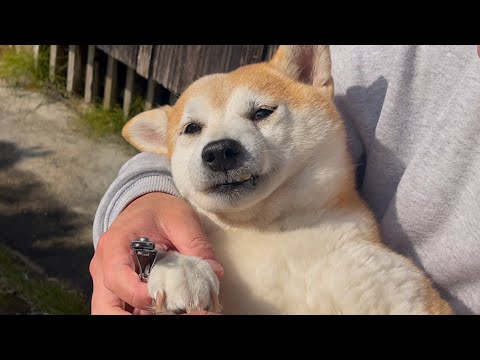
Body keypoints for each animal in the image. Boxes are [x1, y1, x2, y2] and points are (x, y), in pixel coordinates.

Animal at [122, 45, 452, 316]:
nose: (219, 151)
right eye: (192, 128)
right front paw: (181, 266)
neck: (265, 231)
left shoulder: (396, 284)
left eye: (262, 112)